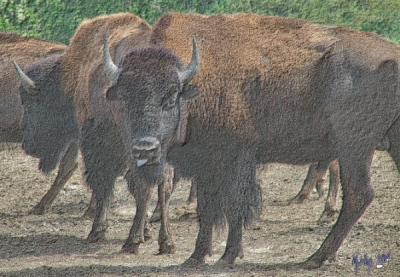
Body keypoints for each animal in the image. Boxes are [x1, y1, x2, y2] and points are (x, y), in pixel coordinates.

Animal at [97, 12, 400, 268]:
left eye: (170, 97)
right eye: (125, 99)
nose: (145, 148)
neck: (196, 82)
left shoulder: (237, 158)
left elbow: (235, 206)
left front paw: (228, 257)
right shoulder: (206, 164)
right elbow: (207, 208)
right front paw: (195, 258)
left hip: (353, 147)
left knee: (359, 194)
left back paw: (316, 258)